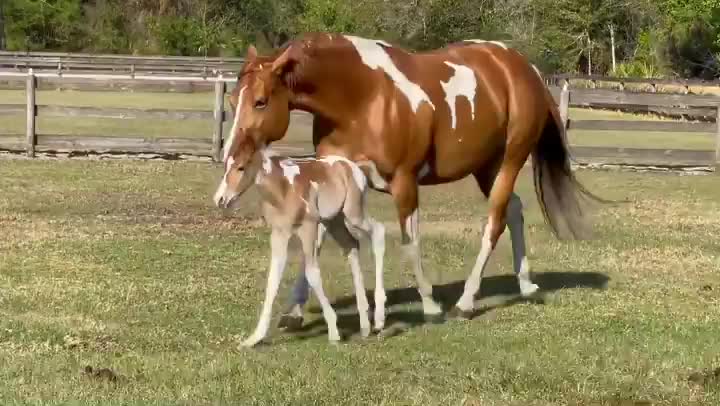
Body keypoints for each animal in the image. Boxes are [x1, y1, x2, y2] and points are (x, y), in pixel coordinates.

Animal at [212, 147, 386, 348]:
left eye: (240, 167)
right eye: (225, 165)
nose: (220, 199)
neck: (283, 190)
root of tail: (353, 167)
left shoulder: (308, 229)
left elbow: (312, 273)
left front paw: (333, 332)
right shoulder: (279, 235)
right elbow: (273, 280)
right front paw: (253, 339)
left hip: (353, 214)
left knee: (378, 232)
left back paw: (379, 319)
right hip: (334, 221)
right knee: (351, 246)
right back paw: (365, 325)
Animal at [215, 31, 600, 324]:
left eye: (261, 101)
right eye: (233, 100)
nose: (231, 154)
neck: (362, 97)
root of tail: (523, 68)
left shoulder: (404, 183)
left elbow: (409, 242)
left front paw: (429, 305)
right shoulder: (333, 179)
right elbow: (318, 240)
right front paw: (294, 308)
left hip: (510, 161)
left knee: (494, 222)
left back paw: (465, 302)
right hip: (486, 167)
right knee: (515, 210)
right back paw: (525, 284)